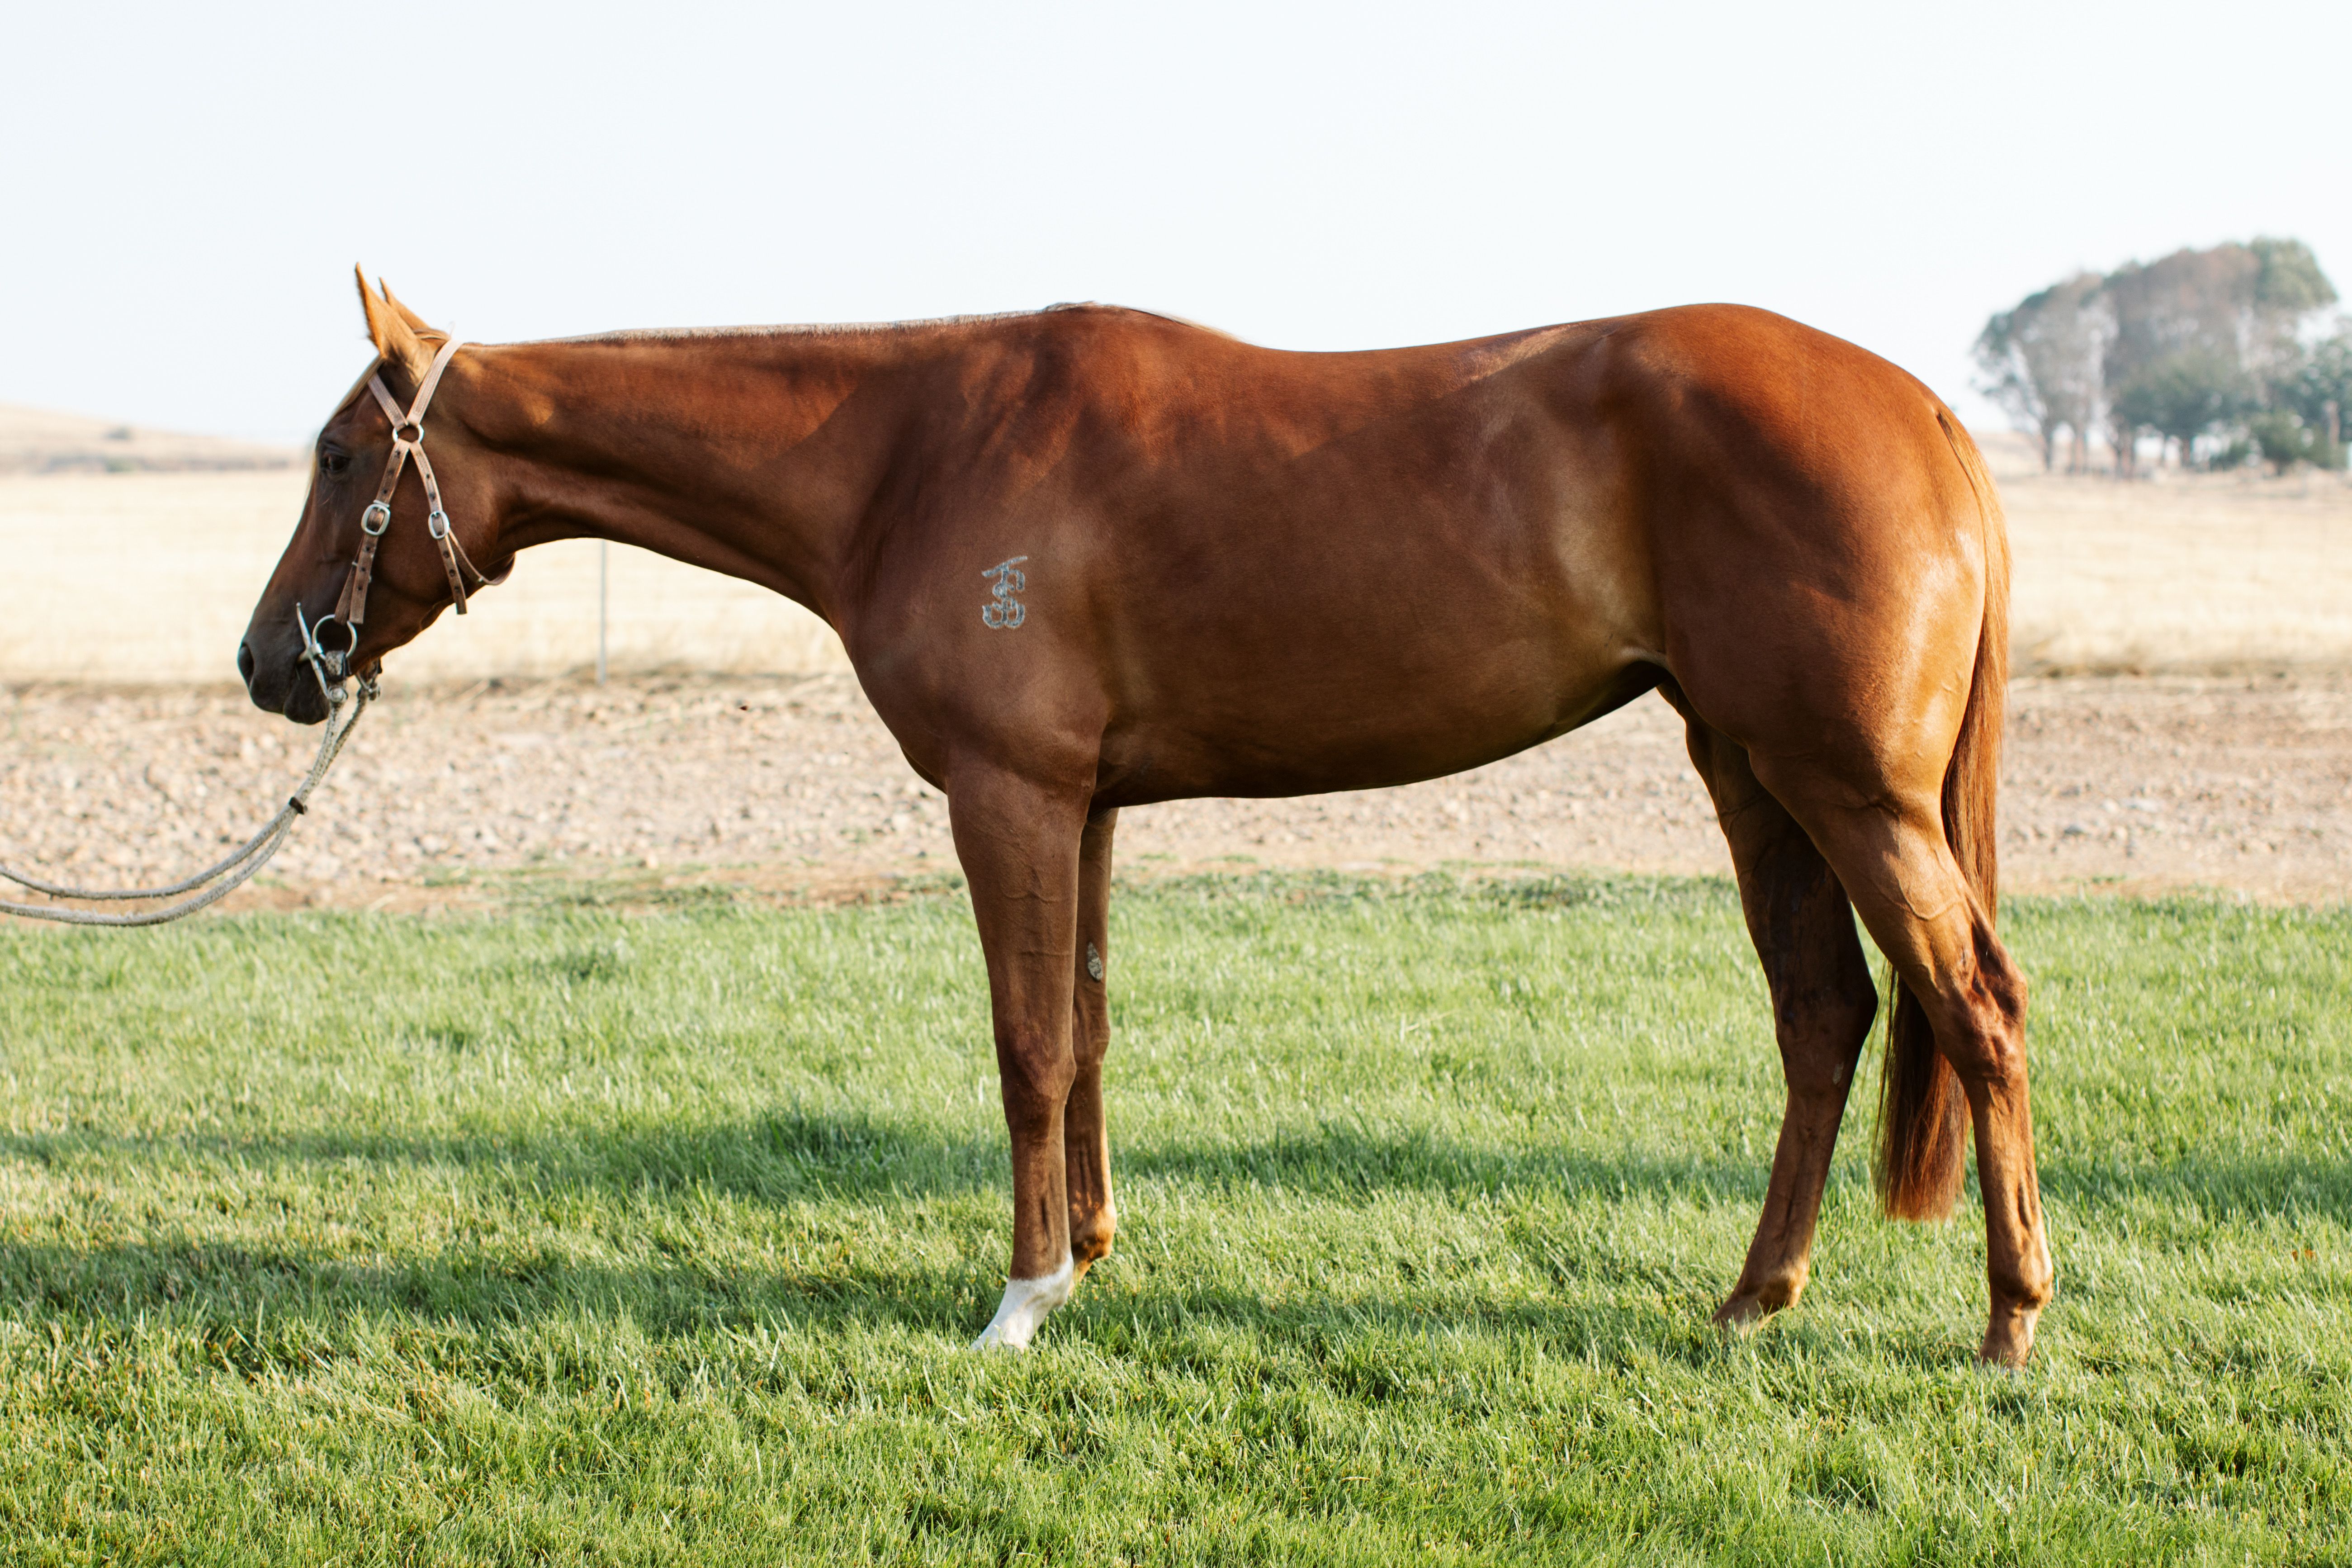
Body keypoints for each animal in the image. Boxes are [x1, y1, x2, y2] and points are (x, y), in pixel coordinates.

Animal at [240, 270, 2053, 1364]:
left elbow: (1025, 1041)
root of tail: (1921, 410)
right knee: (1822, 1014)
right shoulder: (1091, 805)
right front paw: (1093, 1250)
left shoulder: (1009, 797)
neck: (906, 455)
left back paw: (2007, 1320)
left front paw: (1021, 1295)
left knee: (1970, 1004)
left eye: (336, 455)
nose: (273, 660)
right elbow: (1092, 1026)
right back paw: (1751, 1299)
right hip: (1748, 771)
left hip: (1845, 788)